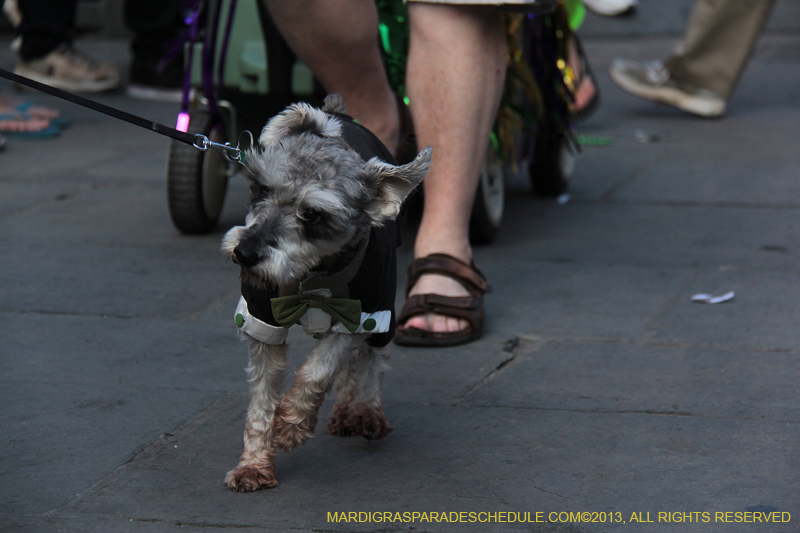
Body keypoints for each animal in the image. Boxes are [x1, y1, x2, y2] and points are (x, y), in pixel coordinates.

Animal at [219, 94, 432, 490]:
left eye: (313, 215)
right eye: (262, 188)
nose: (245, 253)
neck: (310, 276)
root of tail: (338, 112)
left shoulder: (359, 312)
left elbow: (321, 367)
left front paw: (291, 423)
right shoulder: (262, 318)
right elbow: (261, 400)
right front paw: (253, 464)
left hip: (383, 310)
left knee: (371, 358)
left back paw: (363, 410)